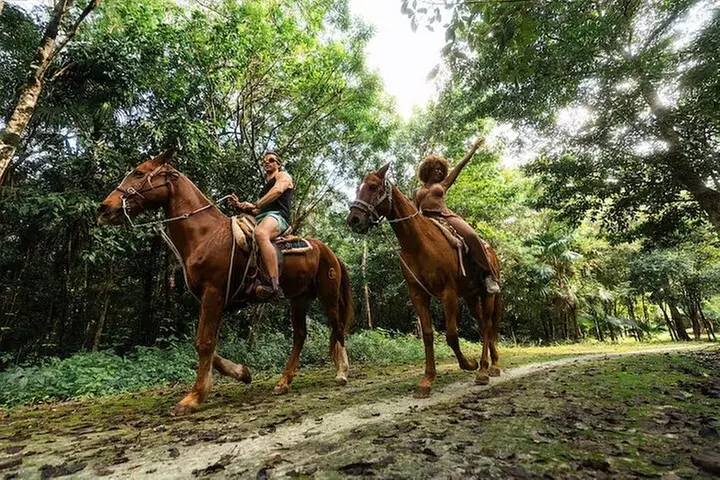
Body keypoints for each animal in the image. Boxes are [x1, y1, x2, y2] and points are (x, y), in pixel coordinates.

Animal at [97, 148, 354, 415]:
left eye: (138, 173)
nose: (104, 208)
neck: (205, 235)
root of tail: (330, 252)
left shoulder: (214, 293)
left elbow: (204, 343)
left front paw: (194, 397)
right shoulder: (208, 299)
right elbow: (205, 343)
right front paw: (242, 373)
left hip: (328, 294)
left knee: (337, 327)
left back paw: (342, 372)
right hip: (298, 298)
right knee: (300, 335)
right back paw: (284, 382)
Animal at [346, 164, 502, 396]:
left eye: (373, 186)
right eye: (359, 187)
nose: (354, 220)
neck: (418, 243)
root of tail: (491, 252)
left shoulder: (448, 293)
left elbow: (451, 335)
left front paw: (469, 364)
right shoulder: (418, 294)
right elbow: (428, 335)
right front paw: (427, 380)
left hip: (487, 294)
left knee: (487, 325)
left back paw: (483, 369)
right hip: (472, 297)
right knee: (484, 323)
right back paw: (492, 365)